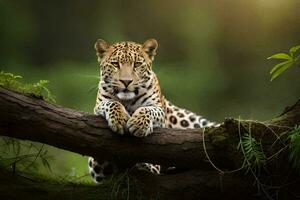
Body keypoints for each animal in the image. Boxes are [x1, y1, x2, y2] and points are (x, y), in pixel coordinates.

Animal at [87, 38, 216, 183]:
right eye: (115, 64)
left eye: (137, 64)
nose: (126, 81)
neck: (127, 102)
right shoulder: (97, 168)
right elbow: (110, 102)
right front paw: (119, 119)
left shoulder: (159, 110)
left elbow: (148, 110)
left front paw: (137, 124)